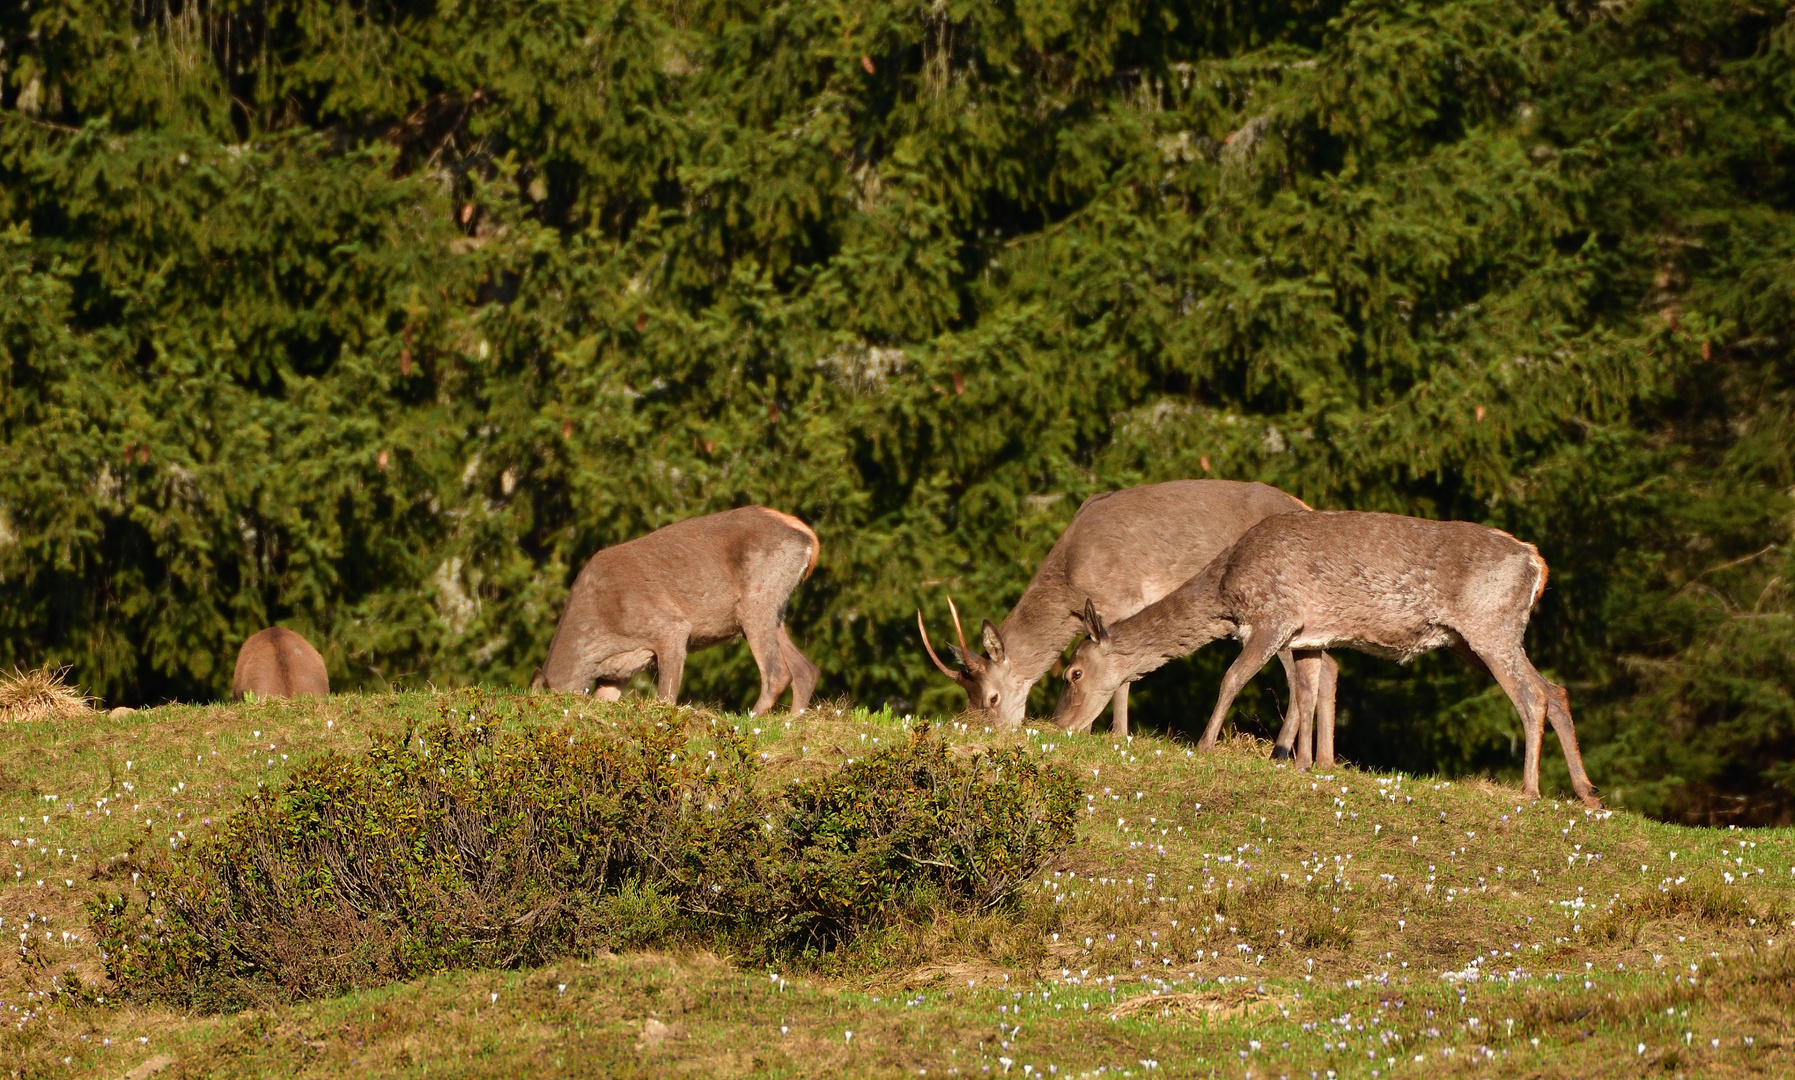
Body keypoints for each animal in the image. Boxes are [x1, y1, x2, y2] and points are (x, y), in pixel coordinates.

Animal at [524, 505, 822, 714]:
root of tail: (808, 537)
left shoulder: (670, 628)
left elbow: (666, 698)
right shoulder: (616, 672)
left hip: (756, 601)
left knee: (777, 673)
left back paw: (751, 718)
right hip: (774, 609)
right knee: (806, 670)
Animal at [926, 473, 1335, 760]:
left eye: (992, 698)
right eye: (968, 700)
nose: (988, 733)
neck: (1071, 578)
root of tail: (1306, 506)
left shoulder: (1122, 598)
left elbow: (1121, 675)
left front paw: (1117, 734)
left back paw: (1280, 754)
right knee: (1326, 666)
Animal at [1048, 509, 1601, 803]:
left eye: (1073, 672)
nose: (1058, 725)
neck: (1226, 591)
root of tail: (1537, 561)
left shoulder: (1275, 616)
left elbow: (1233, 678)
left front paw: (1204, 746)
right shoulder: (1307, 636)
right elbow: (1309, 693)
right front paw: (1303, 764)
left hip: (1490, 625)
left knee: (1532, 696)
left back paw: (1530, 789)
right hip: (1472, 639)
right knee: (1556, 689)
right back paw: (1586, 791)